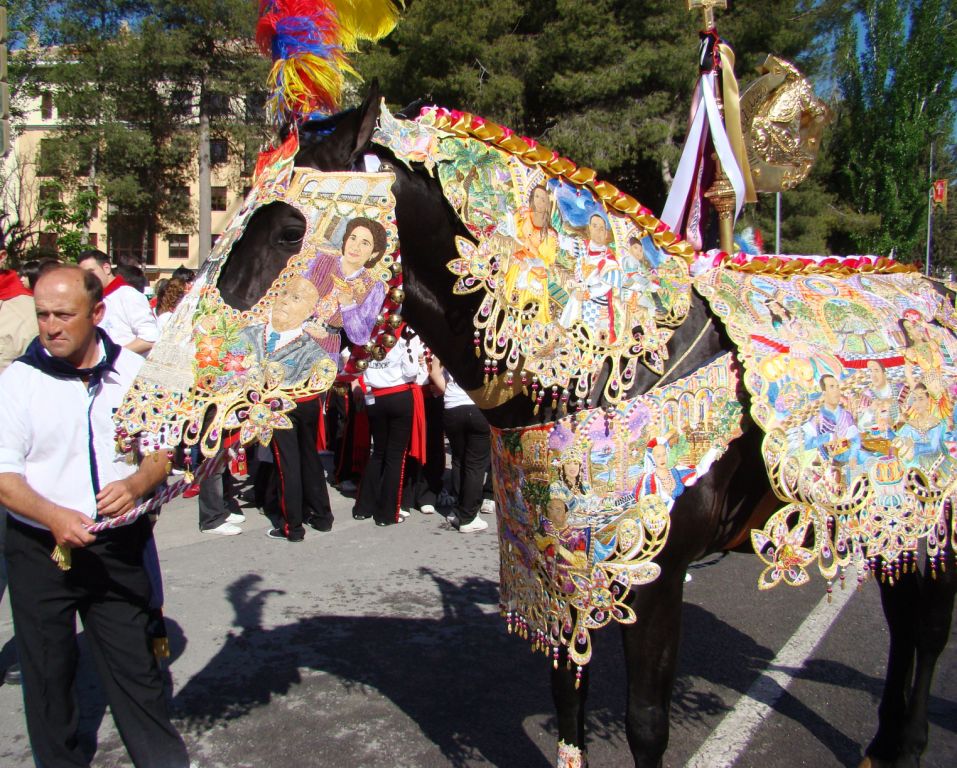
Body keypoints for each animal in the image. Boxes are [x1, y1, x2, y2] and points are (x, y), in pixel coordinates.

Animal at [211, 87, 956, 764]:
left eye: (289, 229)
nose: (214, 372)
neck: (607, 360)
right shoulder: (562, 567)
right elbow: (567, 698)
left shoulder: (654, 580)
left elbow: (645, 722)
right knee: (905, 619)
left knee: (926, 632)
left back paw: (906, 744)